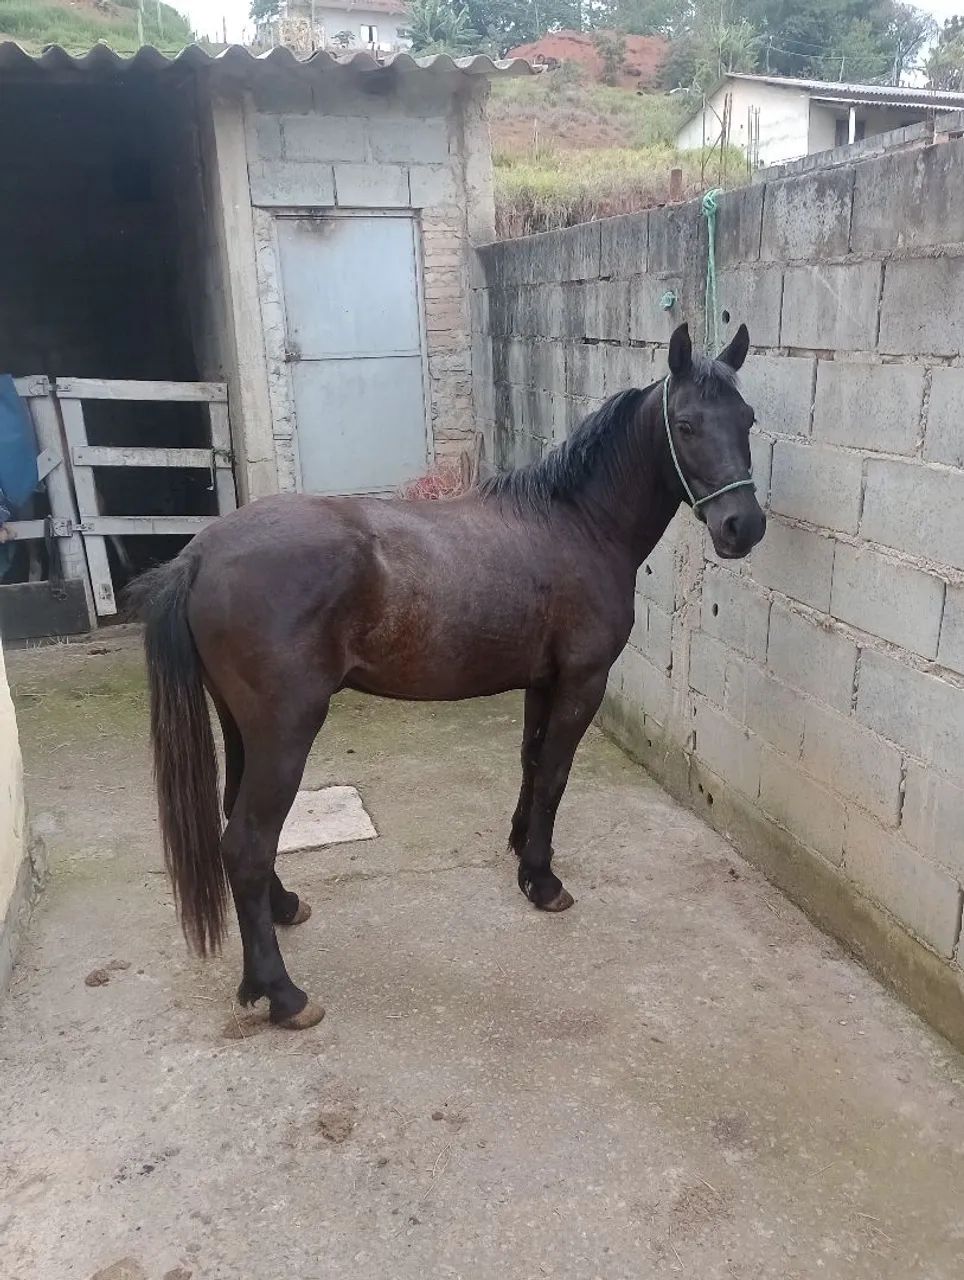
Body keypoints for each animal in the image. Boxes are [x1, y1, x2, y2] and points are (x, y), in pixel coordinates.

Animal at [130, 322, 765, 1030]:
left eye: (747, 417)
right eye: (685, 424)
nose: (743, 526)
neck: (577, 524)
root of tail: (200, 553)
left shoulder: (542, 681)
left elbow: (531, 761)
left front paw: (520, 851)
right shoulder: (582, 681)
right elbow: (555, 774)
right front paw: (543, 881)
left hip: (243, 728)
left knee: (238, 826)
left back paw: (285, 908)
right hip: (286, 731)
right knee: (246, 843)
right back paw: (282, 993)